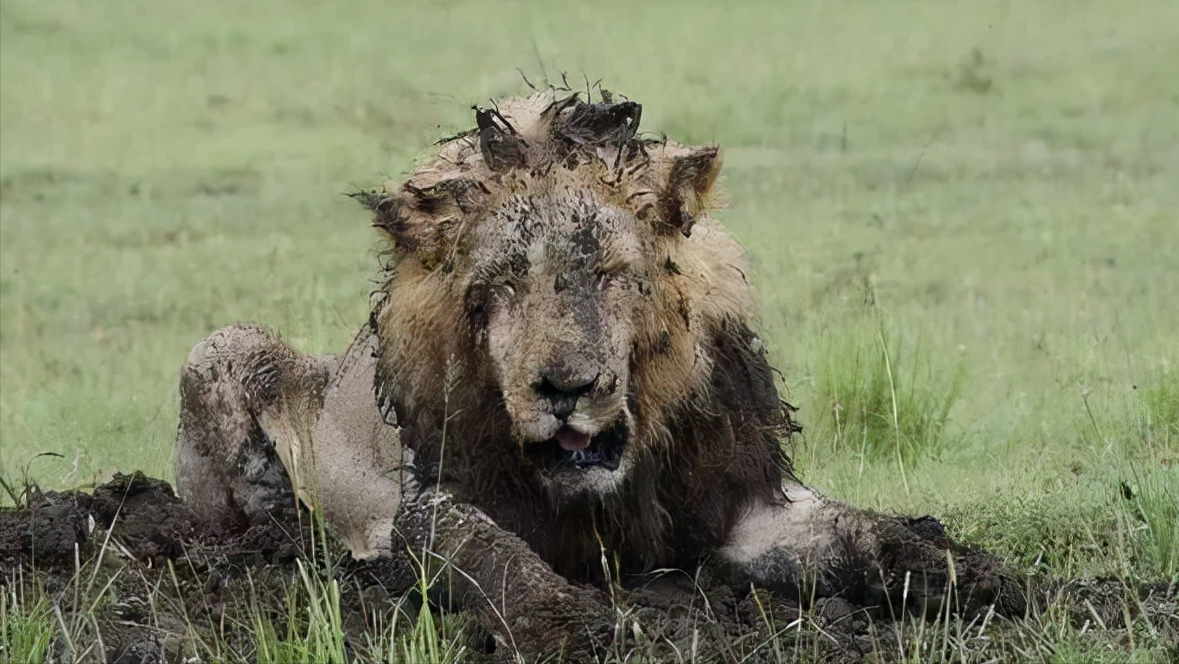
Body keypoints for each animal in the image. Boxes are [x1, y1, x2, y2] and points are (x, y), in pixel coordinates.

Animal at [176, 88, 1023, 660]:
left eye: (614, 275)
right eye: (497, 288)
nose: (565, 389)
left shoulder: (744, 504)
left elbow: (865, 534)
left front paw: (972, 576)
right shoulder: (430, 501)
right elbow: (488, 555)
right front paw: (572, 622)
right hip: (218, 349)